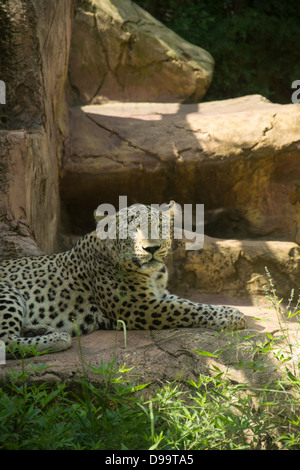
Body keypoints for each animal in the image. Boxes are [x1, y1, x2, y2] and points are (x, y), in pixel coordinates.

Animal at [0, 202, 246, 356]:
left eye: (160, 227)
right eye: (133, 229)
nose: (151, 248)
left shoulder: (159, 294)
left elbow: (191, 303)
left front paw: (230, 312)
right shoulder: (139, 306)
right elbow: (186, 310)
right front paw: (232, 316)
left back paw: (38, 330)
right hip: (8, 293)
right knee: (5, 342)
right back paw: (58, 337)